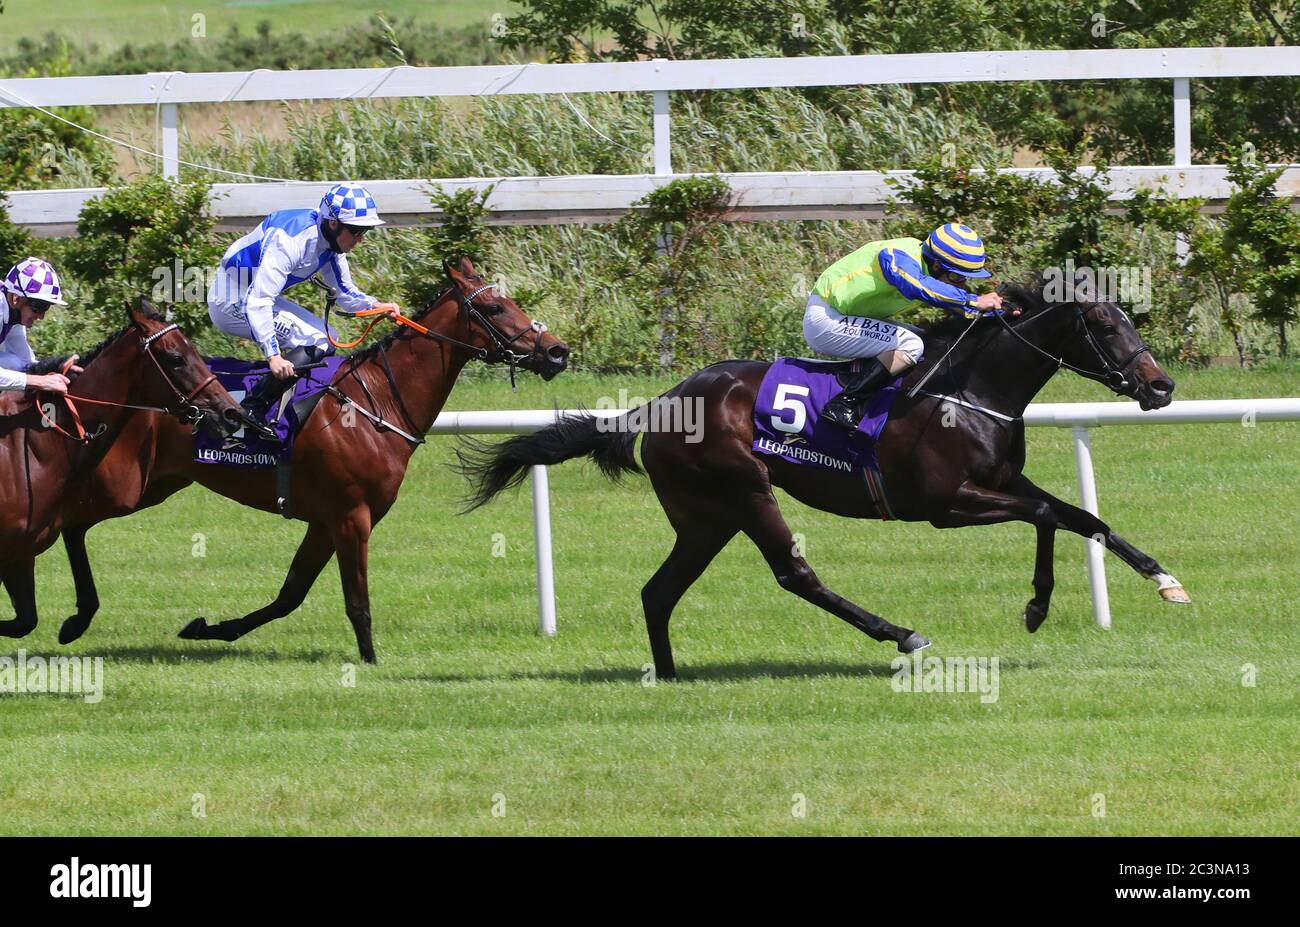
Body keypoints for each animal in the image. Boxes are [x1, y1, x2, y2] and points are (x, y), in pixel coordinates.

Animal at [55, 258, 566, 657]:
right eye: (496, 307)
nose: (557, 351)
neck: (376, 403)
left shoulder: (324, 521)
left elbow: (290, 595)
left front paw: (208, 628)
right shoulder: (352, 516)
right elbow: (357, 602)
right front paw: (371, 662)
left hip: (156, 485)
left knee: (74, 523)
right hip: (124, 485)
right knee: (71, 523)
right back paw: (74, 620)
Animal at [457, 274, 1190, 681]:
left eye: (1129, 319)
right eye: (1104, 324)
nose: (1161, 386)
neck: (968, 391)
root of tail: (662, 402)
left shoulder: (1005, 481)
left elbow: (1081, 517)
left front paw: (1164, 580)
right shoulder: (946, 502)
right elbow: (1044, 518)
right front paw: (1037, 606)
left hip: (705, 516)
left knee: (658, 591)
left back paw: (666, 675)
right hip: (746, 490)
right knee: (794, 573)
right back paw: (900, 633)